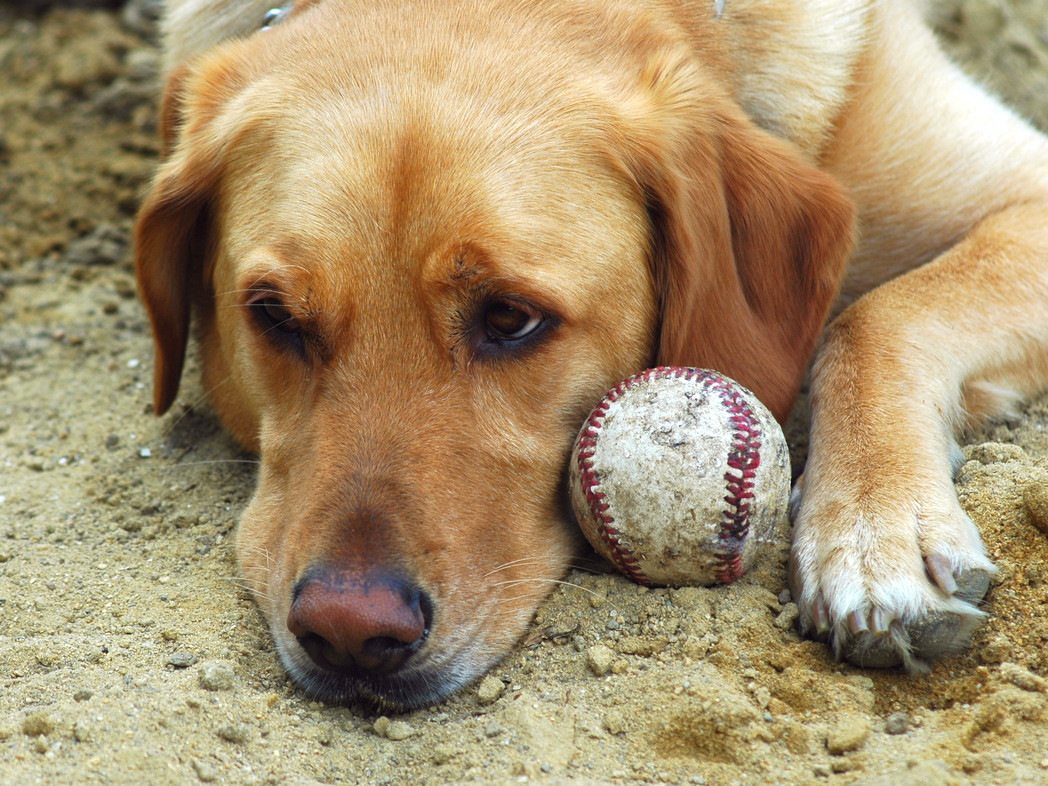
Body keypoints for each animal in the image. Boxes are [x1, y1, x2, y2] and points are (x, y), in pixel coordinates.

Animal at [135, 0, 1048, 712]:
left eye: (510, 318)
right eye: (274, 315)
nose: (351, 633)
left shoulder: (1021, 190)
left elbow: (875, 315)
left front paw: (872, 528)